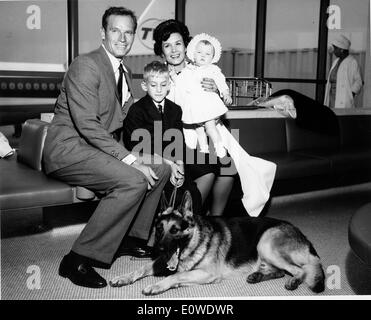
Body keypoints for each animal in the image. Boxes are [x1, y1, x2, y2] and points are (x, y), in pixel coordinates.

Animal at [110, 190, 326, 296]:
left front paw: (157, 285)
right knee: (280, 271)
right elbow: (142, 268)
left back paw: (293, 281)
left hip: (265, 244)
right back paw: (257, 276)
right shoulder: (162, 261)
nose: (158, 249)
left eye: (175, 230)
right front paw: (123, 277)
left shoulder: (206, 273)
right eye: (159, 229)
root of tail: (301, 233)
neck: (195, 241)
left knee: (300, 270)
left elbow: (175, 276)